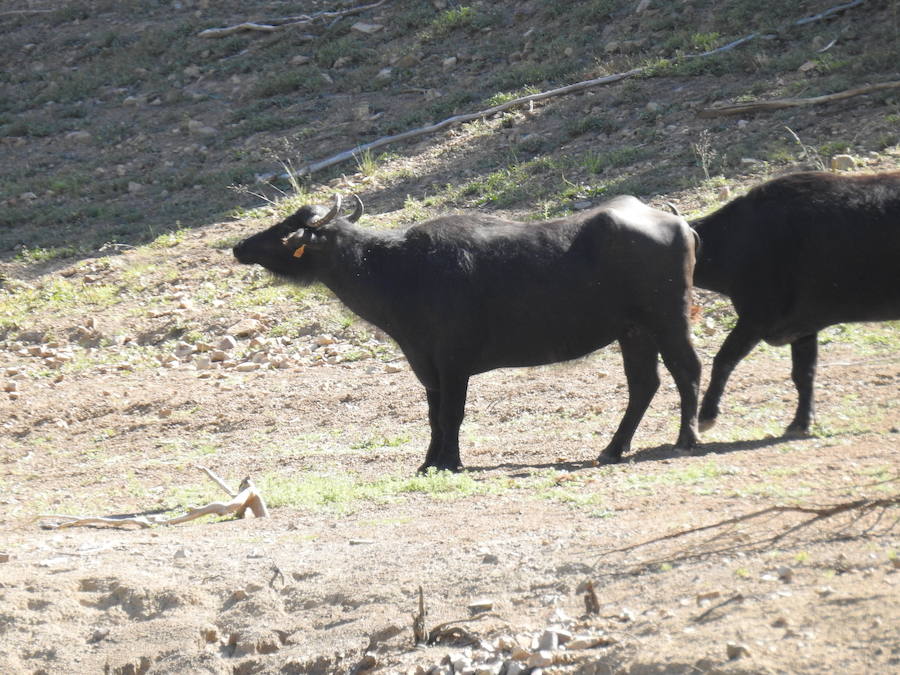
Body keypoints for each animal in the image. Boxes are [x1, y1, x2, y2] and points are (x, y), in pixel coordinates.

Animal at [232, 194, 704, 470]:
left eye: (287, 229)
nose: (239, 246)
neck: (400, 269)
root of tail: (679, 224)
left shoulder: (453, 362)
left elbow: (451, 414)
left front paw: (450, 462)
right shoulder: (425, 364)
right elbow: (433, 415)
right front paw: (429, 462)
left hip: (668, 318)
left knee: (687, 369)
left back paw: (687, 437)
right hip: (634, 331)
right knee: (644, 383)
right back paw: (613, 448)